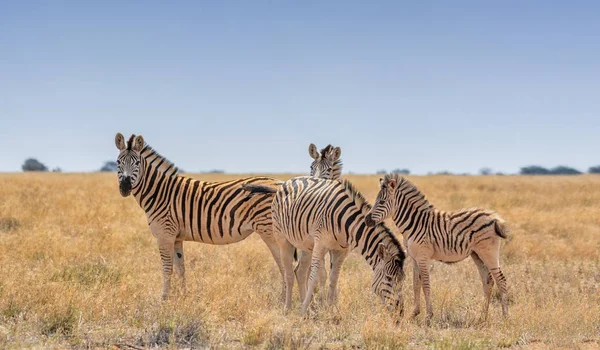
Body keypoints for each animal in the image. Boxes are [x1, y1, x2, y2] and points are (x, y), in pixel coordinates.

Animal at [115, 133, 288, 300]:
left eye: (137, 163)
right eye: (118, 163)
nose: (124, 188)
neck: (160, 192)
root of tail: (280, 183)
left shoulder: (165, 235)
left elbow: (167, 269)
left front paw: (163, 299)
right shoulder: (176, 237)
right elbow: (180, 269)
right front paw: (183, 297)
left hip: (270, 232)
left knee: (286, 266)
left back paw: (282, 301)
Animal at [241, 176, 406, 316]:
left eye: (403, 280)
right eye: (389, 278)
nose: (400, 312)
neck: (346, 223)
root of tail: (286, 182)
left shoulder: (341, 250)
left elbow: (333, 279)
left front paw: (330, 309)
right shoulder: (320, 244)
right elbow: (314, 278)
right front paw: (304, 310)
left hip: (306, 245)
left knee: (300, 272)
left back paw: (307, 307)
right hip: (282, 238)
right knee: (289, 274)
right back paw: (288, 308)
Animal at [364, 174, 508, 324]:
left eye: (381, 202)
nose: (366, 220)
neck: (414, 224)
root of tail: (494, 217)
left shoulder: (423, 257)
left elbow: (426, 285)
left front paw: (428, 316)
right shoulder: (414, 258)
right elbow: (416, 284)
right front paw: (414, 314)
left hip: (489, 253)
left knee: (501, 280)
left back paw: (505, 317)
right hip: (477, 254)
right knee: (488, 281)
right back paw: (482, 318)